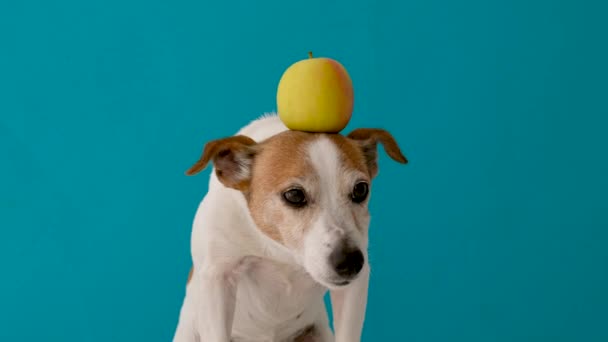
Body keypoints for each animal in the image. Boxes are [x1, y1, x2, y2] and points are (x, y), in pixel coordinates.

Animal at [173, 113, 406, 340]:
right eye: (294, 195)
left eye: (360, 190)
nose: (350, 262)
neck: (281, 252)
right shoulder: (218, 278)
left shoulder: (355, 286)